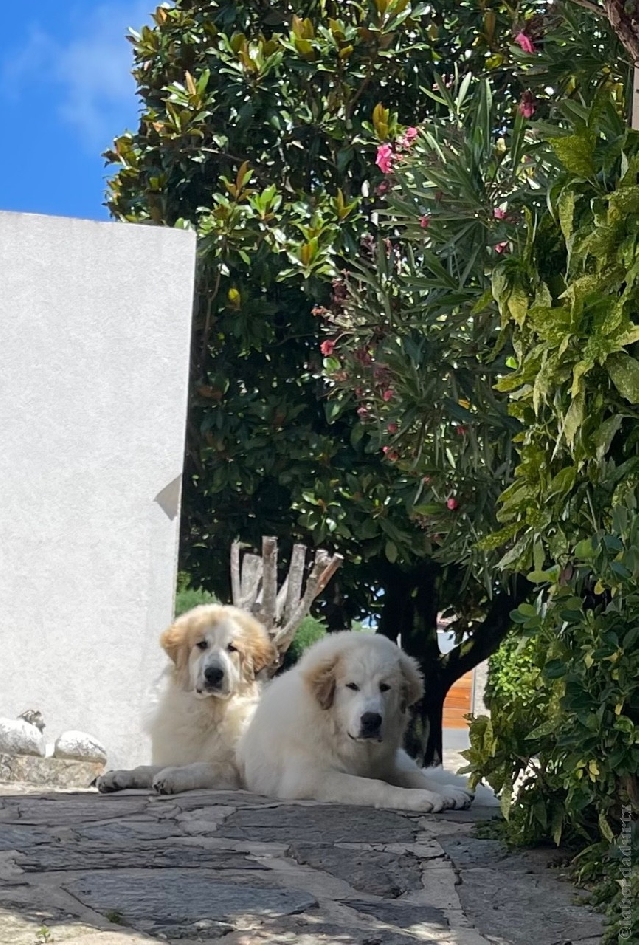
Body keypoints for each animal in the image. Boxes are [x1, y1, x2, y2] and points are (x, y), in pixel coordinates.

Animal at [97, 604, 276, 796]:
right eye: (202, 644)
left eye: (232, 648)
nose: (213, 673)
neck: (208, 711)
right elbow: (144, 769)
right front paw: (118, 775)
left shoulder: (236, 773)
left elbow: (204, 767)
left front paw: (171, 776)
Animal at [239, 628, 476, 812]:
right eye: (352, 686)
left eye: (385, 687)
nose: (371, 720)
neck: (332, 729)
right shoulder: (308, 778)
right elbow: (375, 785)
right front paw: (419, 797)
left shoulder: (384, 766)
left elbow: (407, 777)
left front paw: (441, 792)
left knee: (414, 772)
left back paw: (452, 791)